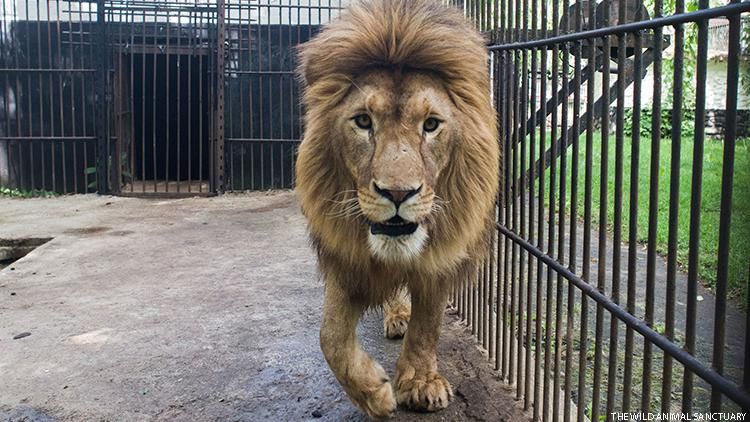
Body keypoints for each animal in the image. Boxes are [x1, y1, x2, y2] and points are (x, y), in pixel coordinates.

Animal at [296, 0, 502, 416]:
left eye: (431, 124)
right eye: (363, 121)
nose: (397, 193)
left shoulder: (442, 257)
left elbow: (428, 324)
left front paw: (420, 383)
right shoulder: (347, 256)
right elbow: (331, 335)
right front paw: (373, 393)